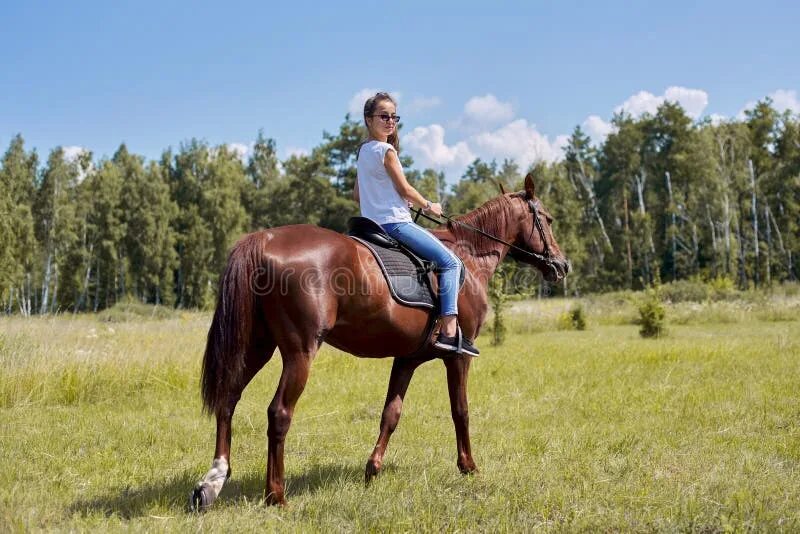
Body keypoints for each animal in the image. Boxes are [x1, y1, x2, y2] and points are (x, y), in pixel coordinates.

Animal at [191, 173, 570, 509]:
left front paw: (372, 470)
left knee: (228, 400)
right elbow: (460, 410)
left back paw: (213, 482)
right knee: (279, 413)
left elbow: (391, 413)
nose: (562, 265)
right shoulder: (459, 356)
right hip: (300, 352)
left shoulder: (407, 358)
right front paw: (468, 467)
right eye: (548, 219)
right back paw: (276, 495)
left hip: (257, 346)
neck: (469, 255)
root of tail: (265, 239)